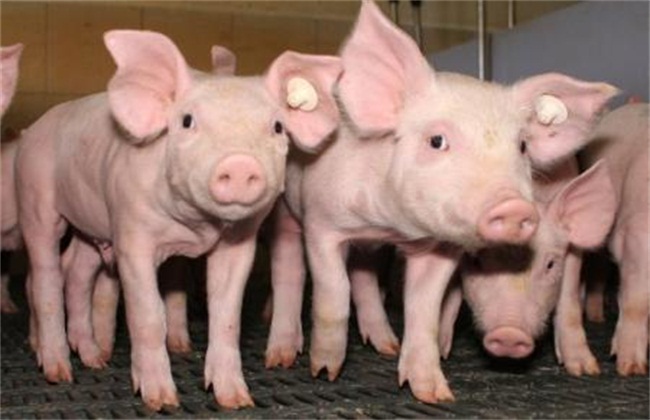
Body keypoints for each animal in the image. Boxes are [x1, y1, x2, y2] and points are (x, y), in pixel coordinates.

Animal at [15, 29, 342, 411]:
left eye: (277, 127)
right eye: (187, 121)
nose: (240, 163)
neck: (196, 227)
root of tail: (31, 130)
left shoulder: (238, 243)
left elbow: (227, 315)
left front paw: (237, 400)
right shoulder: (131, 232)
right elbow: (148, 315)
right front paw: (161, 401)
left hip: (91, 225)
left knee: (77, 274)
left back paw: (95, 360)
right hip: (35, 197)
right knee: (46, 277)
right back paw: (58, 372)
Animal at [264, 0, 617, 404]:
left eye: (523, 146)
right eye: (436, 141)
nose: (513, 207)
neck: (391, 225)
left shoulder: (438, 249)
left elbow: (425, 310)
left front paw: (435, 395)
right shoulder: (322, 222)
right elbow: (333, 291)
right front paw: (325, 372)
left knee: (363, 276)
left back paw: (386, 345)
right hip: (286, 213)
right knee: (289, 270)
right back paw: (280, 357)